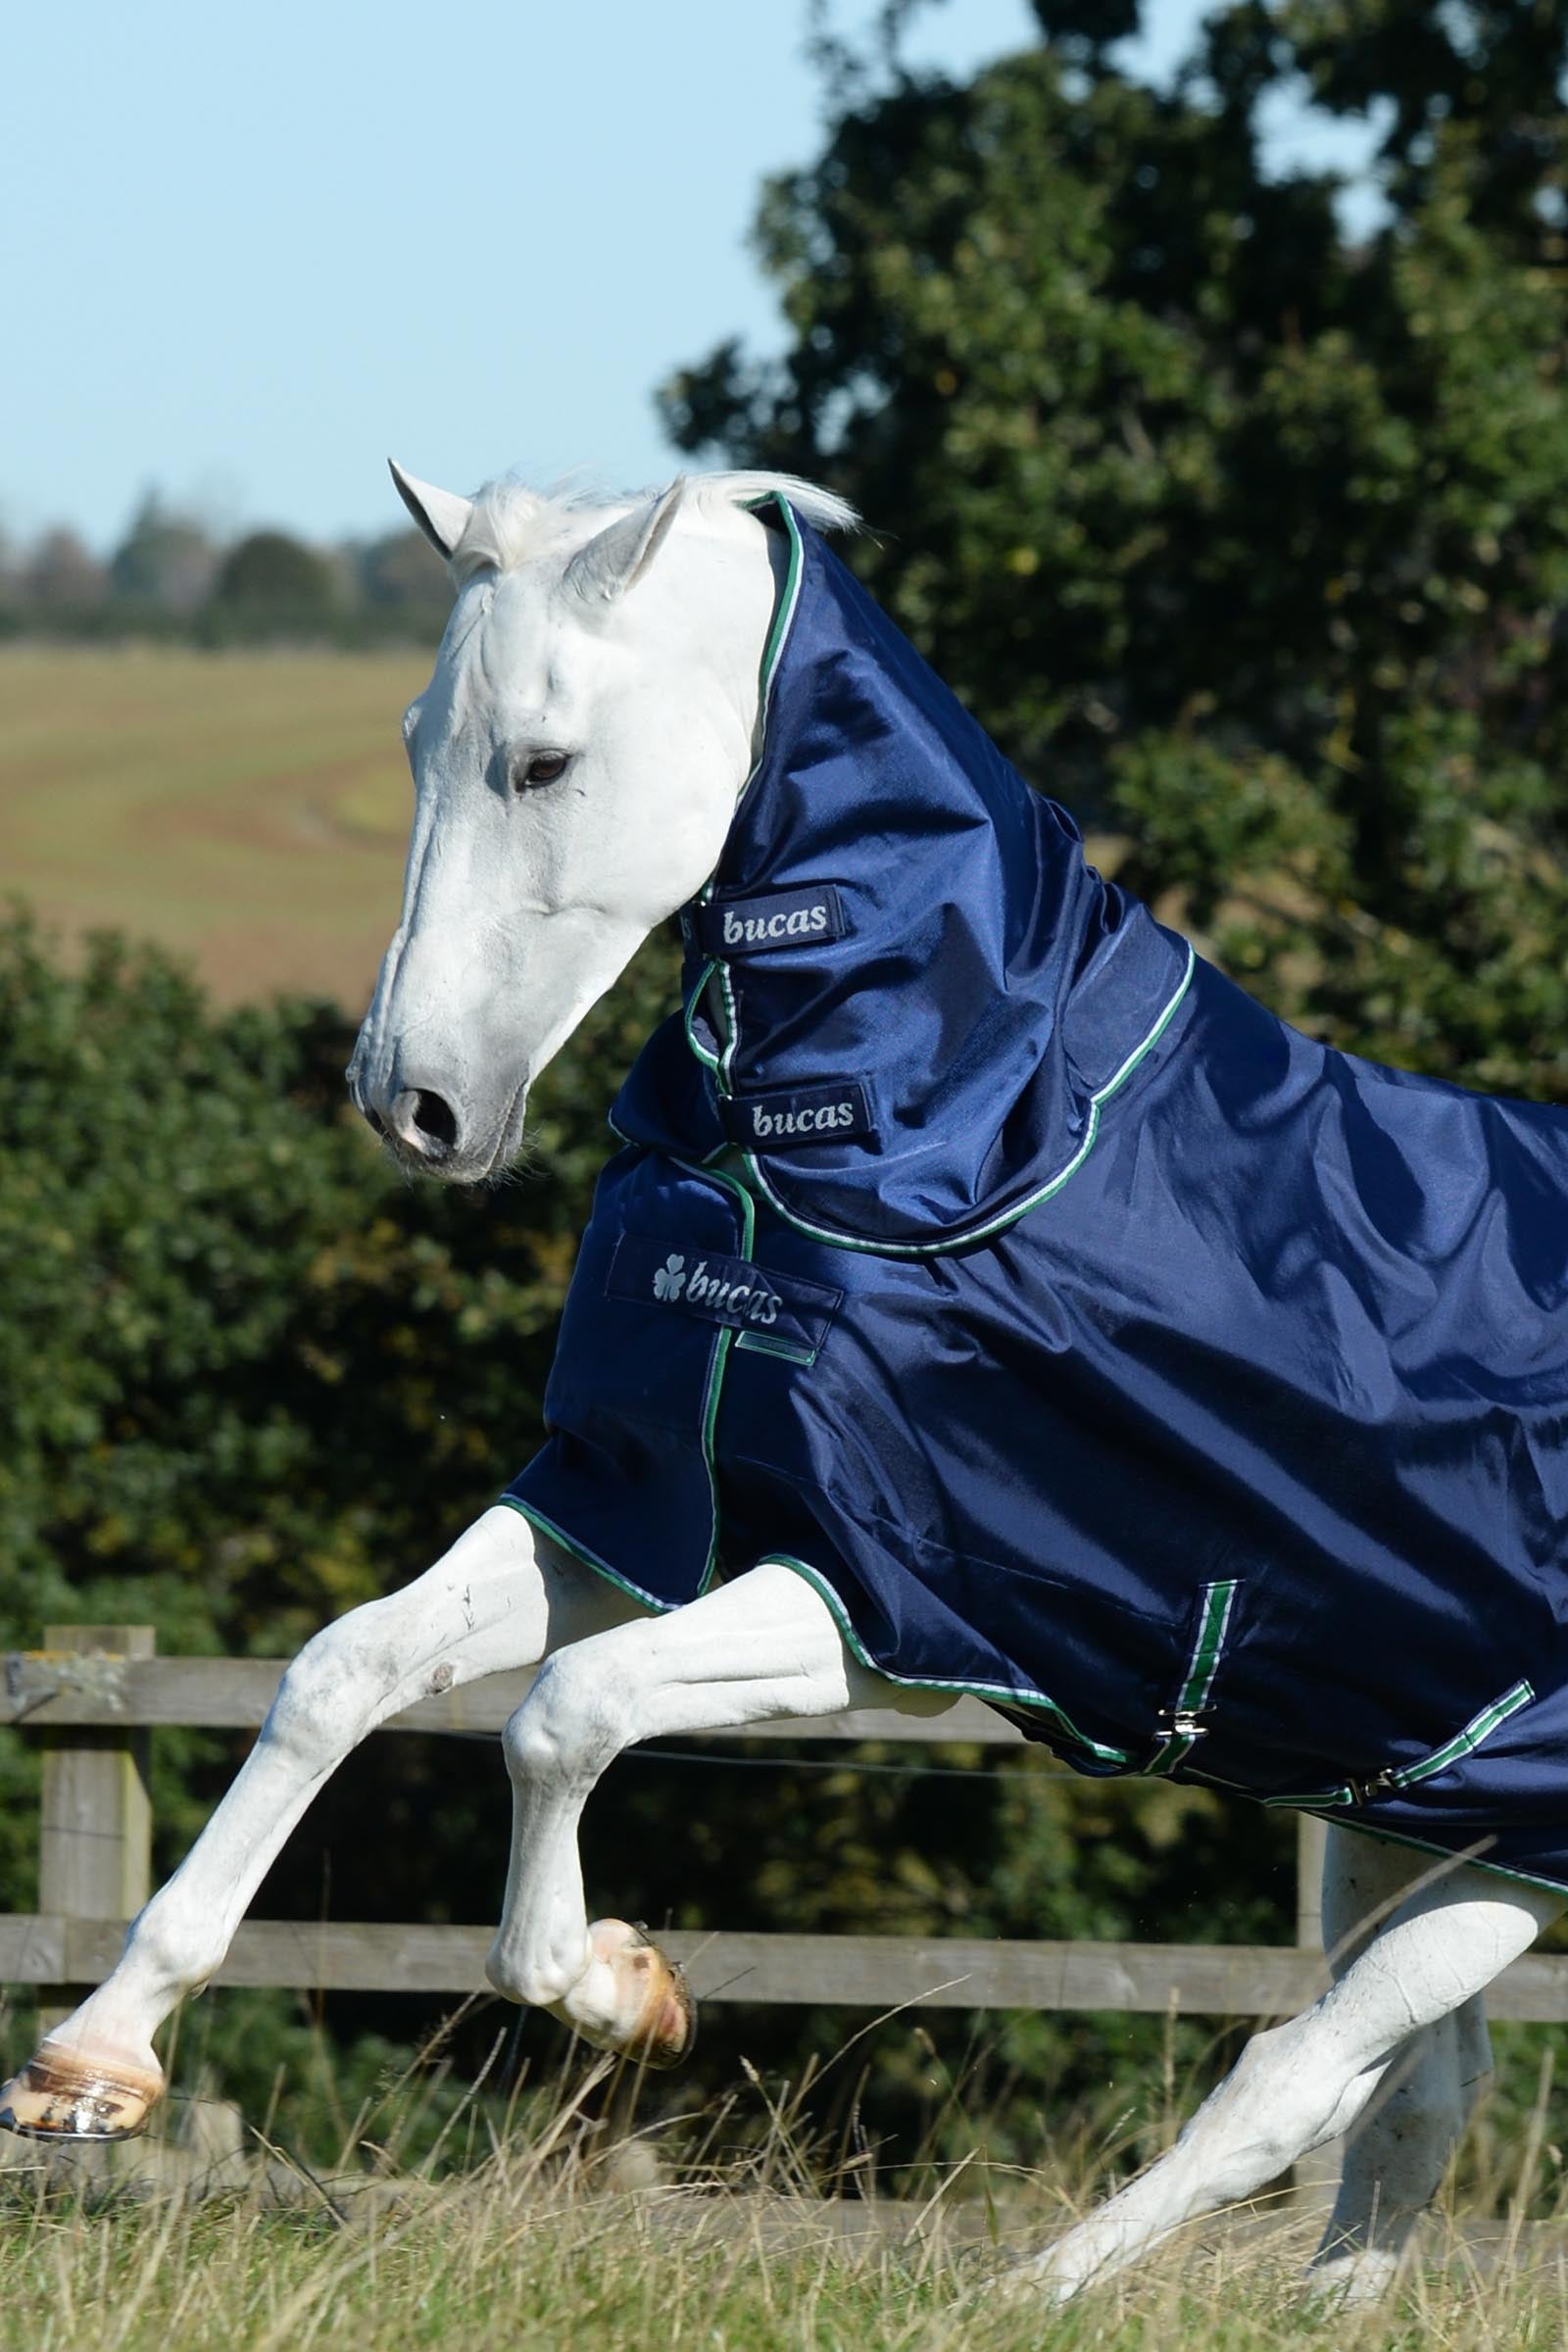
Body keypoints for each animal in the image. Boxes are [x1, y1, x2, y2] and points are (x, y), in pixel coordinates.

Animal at [6, 464, 1568, 2309]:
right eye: (409, 742)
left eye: (545, 761)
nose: (413, 1106)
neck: (936, 1132)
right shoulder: (626, 1509)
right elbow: (344, 1670)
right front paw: (94, 2062)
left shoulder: (893, 1617)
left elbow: (560, 1717)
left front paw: (624, 1987)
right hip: (1396, 1817)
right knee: (1414, 2096)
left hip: (1512, 1851)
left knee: (1297, 2080)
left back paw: (1018, 2300)